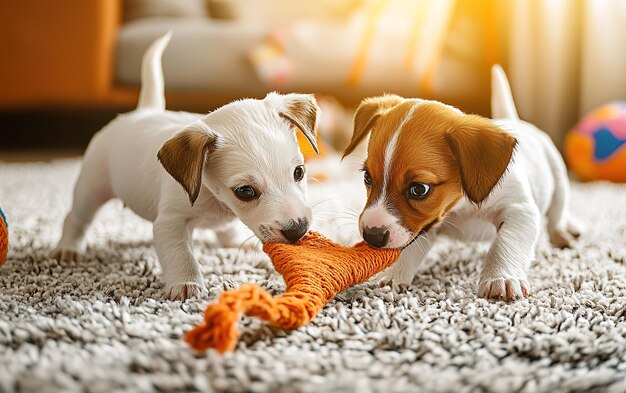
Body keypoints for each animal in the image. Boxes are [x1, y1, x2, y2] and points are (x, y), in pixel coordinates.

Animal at [52, 33, 316, 298]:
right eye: (245, 191)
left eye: (299, 172)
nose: (298, 230)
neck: (214, 198)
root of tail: (142, 111)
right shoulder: (171, 222)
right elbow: (181, 253)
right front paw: (186, 283)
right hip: (91, 189)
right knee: (75, 218)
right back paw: (68, 248)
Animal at [342, 66, 580, 298]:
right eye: (367, 177)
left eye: (419, 189)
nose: (372, 236)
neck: (461, 206)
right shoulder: (426, 226)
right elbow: (409, 248)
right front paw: (393, 276)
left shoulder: (520, 210)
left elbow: (505, 243)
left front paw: (501, 278)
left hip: (559, 180)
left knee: (557, 215)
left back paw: (564, 233)